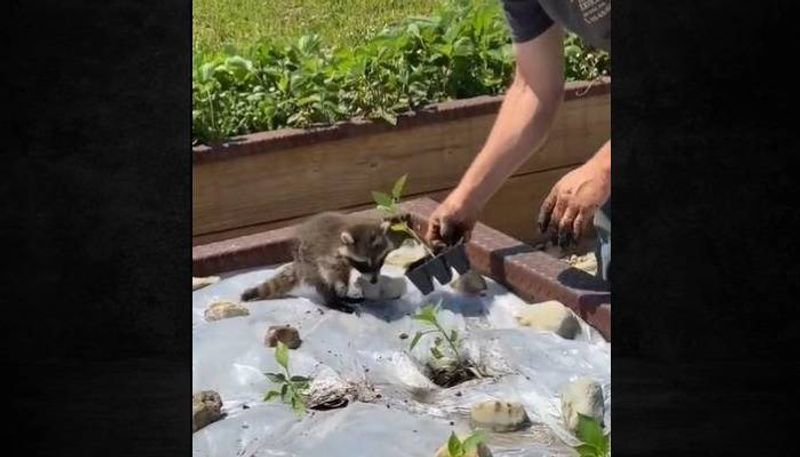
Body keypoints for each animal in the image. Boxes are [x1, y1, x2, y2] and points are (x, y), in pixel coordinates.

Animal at [241, 212, 396, 312]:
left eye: (381, 260)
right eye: (364, 263)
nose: (374, 281)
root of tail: (299, 265)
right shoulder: (328, 256)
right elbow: (329, 272)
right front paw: (340, 286)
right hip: (308, 264)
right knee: (323, 283)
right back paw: (333, 301)